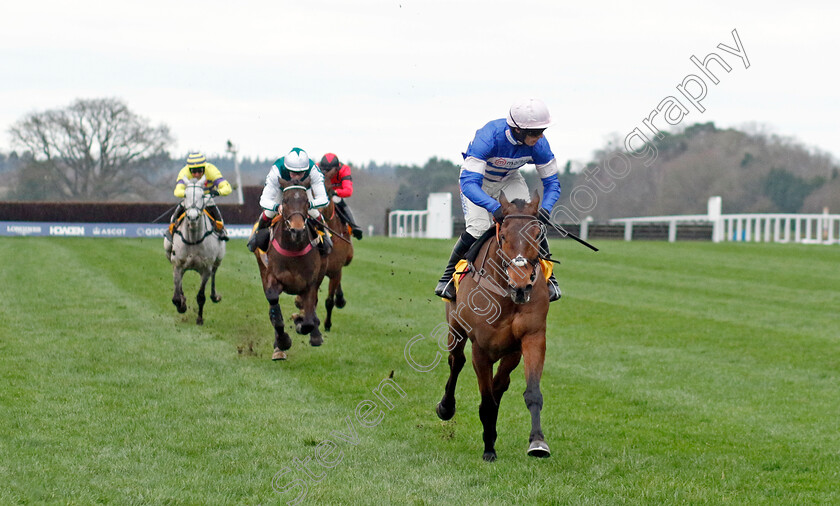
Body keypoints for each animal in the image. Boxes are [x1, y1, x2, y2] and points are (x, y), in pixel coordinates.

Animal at [162, 175, 223, 324]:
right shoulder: (177, 265)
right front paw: (181, 305)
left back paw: (214, 296)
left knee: (214, 273)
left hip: (218, 260)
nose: (193, 217)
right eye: (185, 195)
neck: (194, 239)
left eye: (202, 195)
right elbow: (176, 296)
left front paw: (199, 319)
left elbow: (201, 296)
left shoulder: (206, 269)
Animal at [254, 178, 326, 360]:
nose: (297, 229)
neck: (293, 248)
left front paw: (303, 325)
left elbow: (309, 317)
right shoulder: (272, 278)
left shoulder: (309, 283)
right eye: (285, 201)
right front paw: (283, 342)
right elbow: (275, 312)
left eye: (306, 201)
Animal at [434, 192, 552, 460]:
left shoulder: (530, 338)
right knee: (456, 362)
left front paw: (537, 442)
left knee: (500, 383)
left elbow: (531, 392)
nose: (521, 286)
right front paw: (489, 448)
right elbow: (486, 398)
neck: (506, 295)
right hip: (455, 328)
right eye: (504, 236)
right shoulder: (481, 347)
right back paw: (446, 407)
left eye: (537, 235)